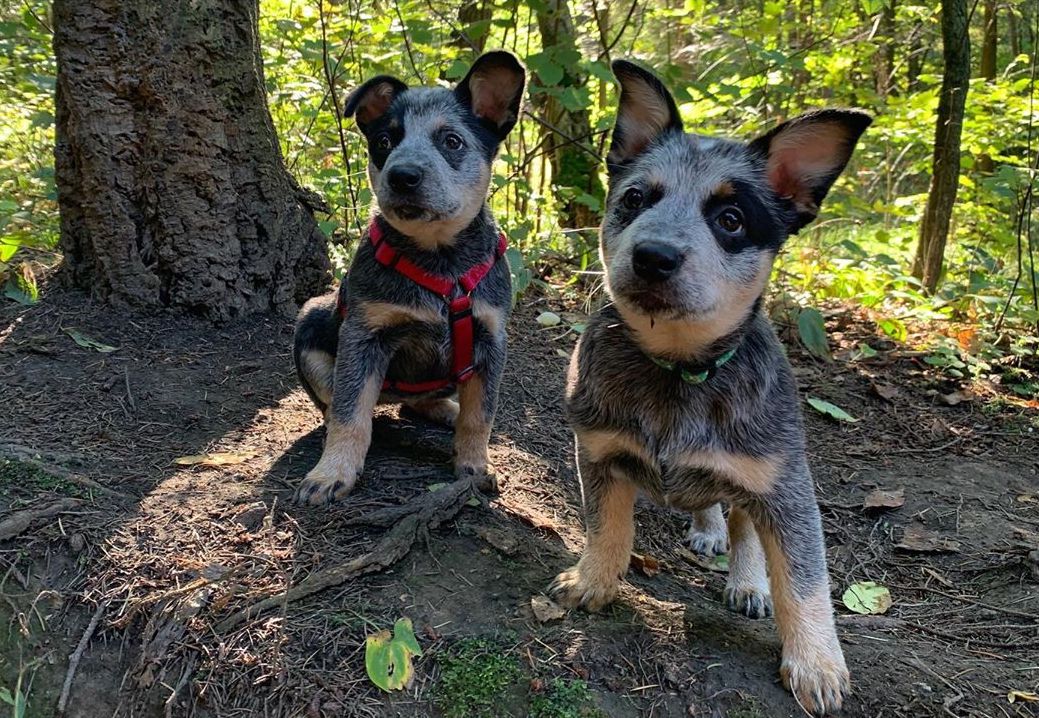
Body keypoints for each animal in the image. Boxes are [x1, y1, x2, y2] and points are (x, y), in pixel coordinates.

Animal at [295, 51, 527, 504]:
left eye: (451, 141)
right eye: (385, 141)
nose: (402, 176)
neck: (439, 261)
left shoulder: (492, 339)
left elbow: (480, 415)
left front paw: (476, 465)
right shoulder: (364, 334)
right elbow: (350, 412)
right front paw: (332, 471)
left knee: (424, 403)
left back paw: (447, 410)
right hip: (310, 322)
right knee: (341, 404)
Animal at [552, 58, 868, 714]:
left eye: (731, 219)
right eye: (635, 198)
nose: (653, 256)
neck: (677, 373)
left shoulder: (785, 484)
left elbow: (806, 579)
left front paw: (817, 663)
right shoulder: (598, 452)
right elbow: (607, 527)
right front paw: (593, 580)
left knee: (744, 522)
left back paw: (747, 580)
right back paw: (705, 528)